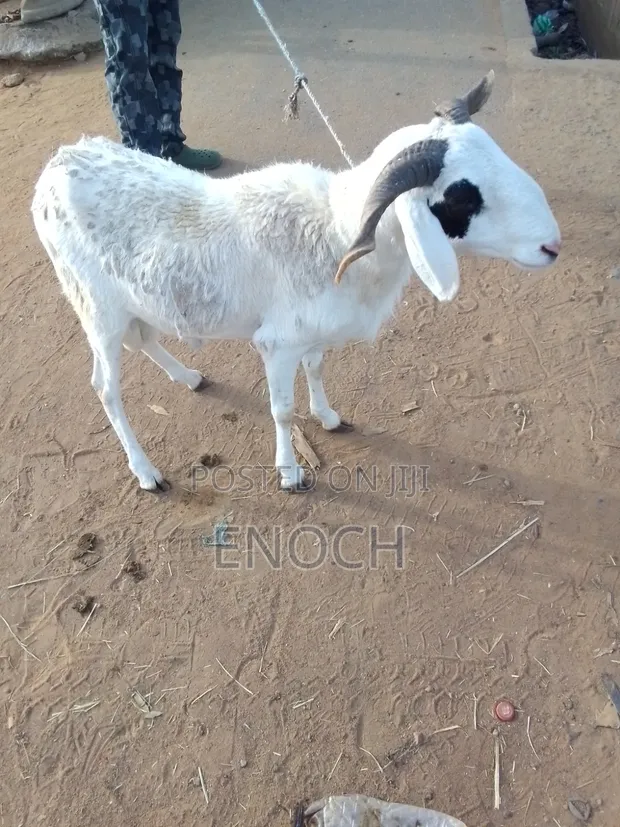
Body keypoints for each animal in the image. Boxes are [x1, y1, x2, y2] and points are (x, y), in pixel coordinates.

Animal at [31, 70, 561, 494]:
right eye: (463, 195)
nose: (552, 245)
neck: (336, 232)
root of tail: (57, 164)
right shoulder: (277, 342)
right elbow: (282, 411)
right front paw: (290, 472)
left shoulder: (311, 332)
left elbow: (318, 368)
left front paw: (327, 417)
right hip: (95, 306)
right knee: (106, 388)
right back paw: (146, 472)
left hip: (129, 302)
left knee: (143, 339)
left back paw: (189, 377)